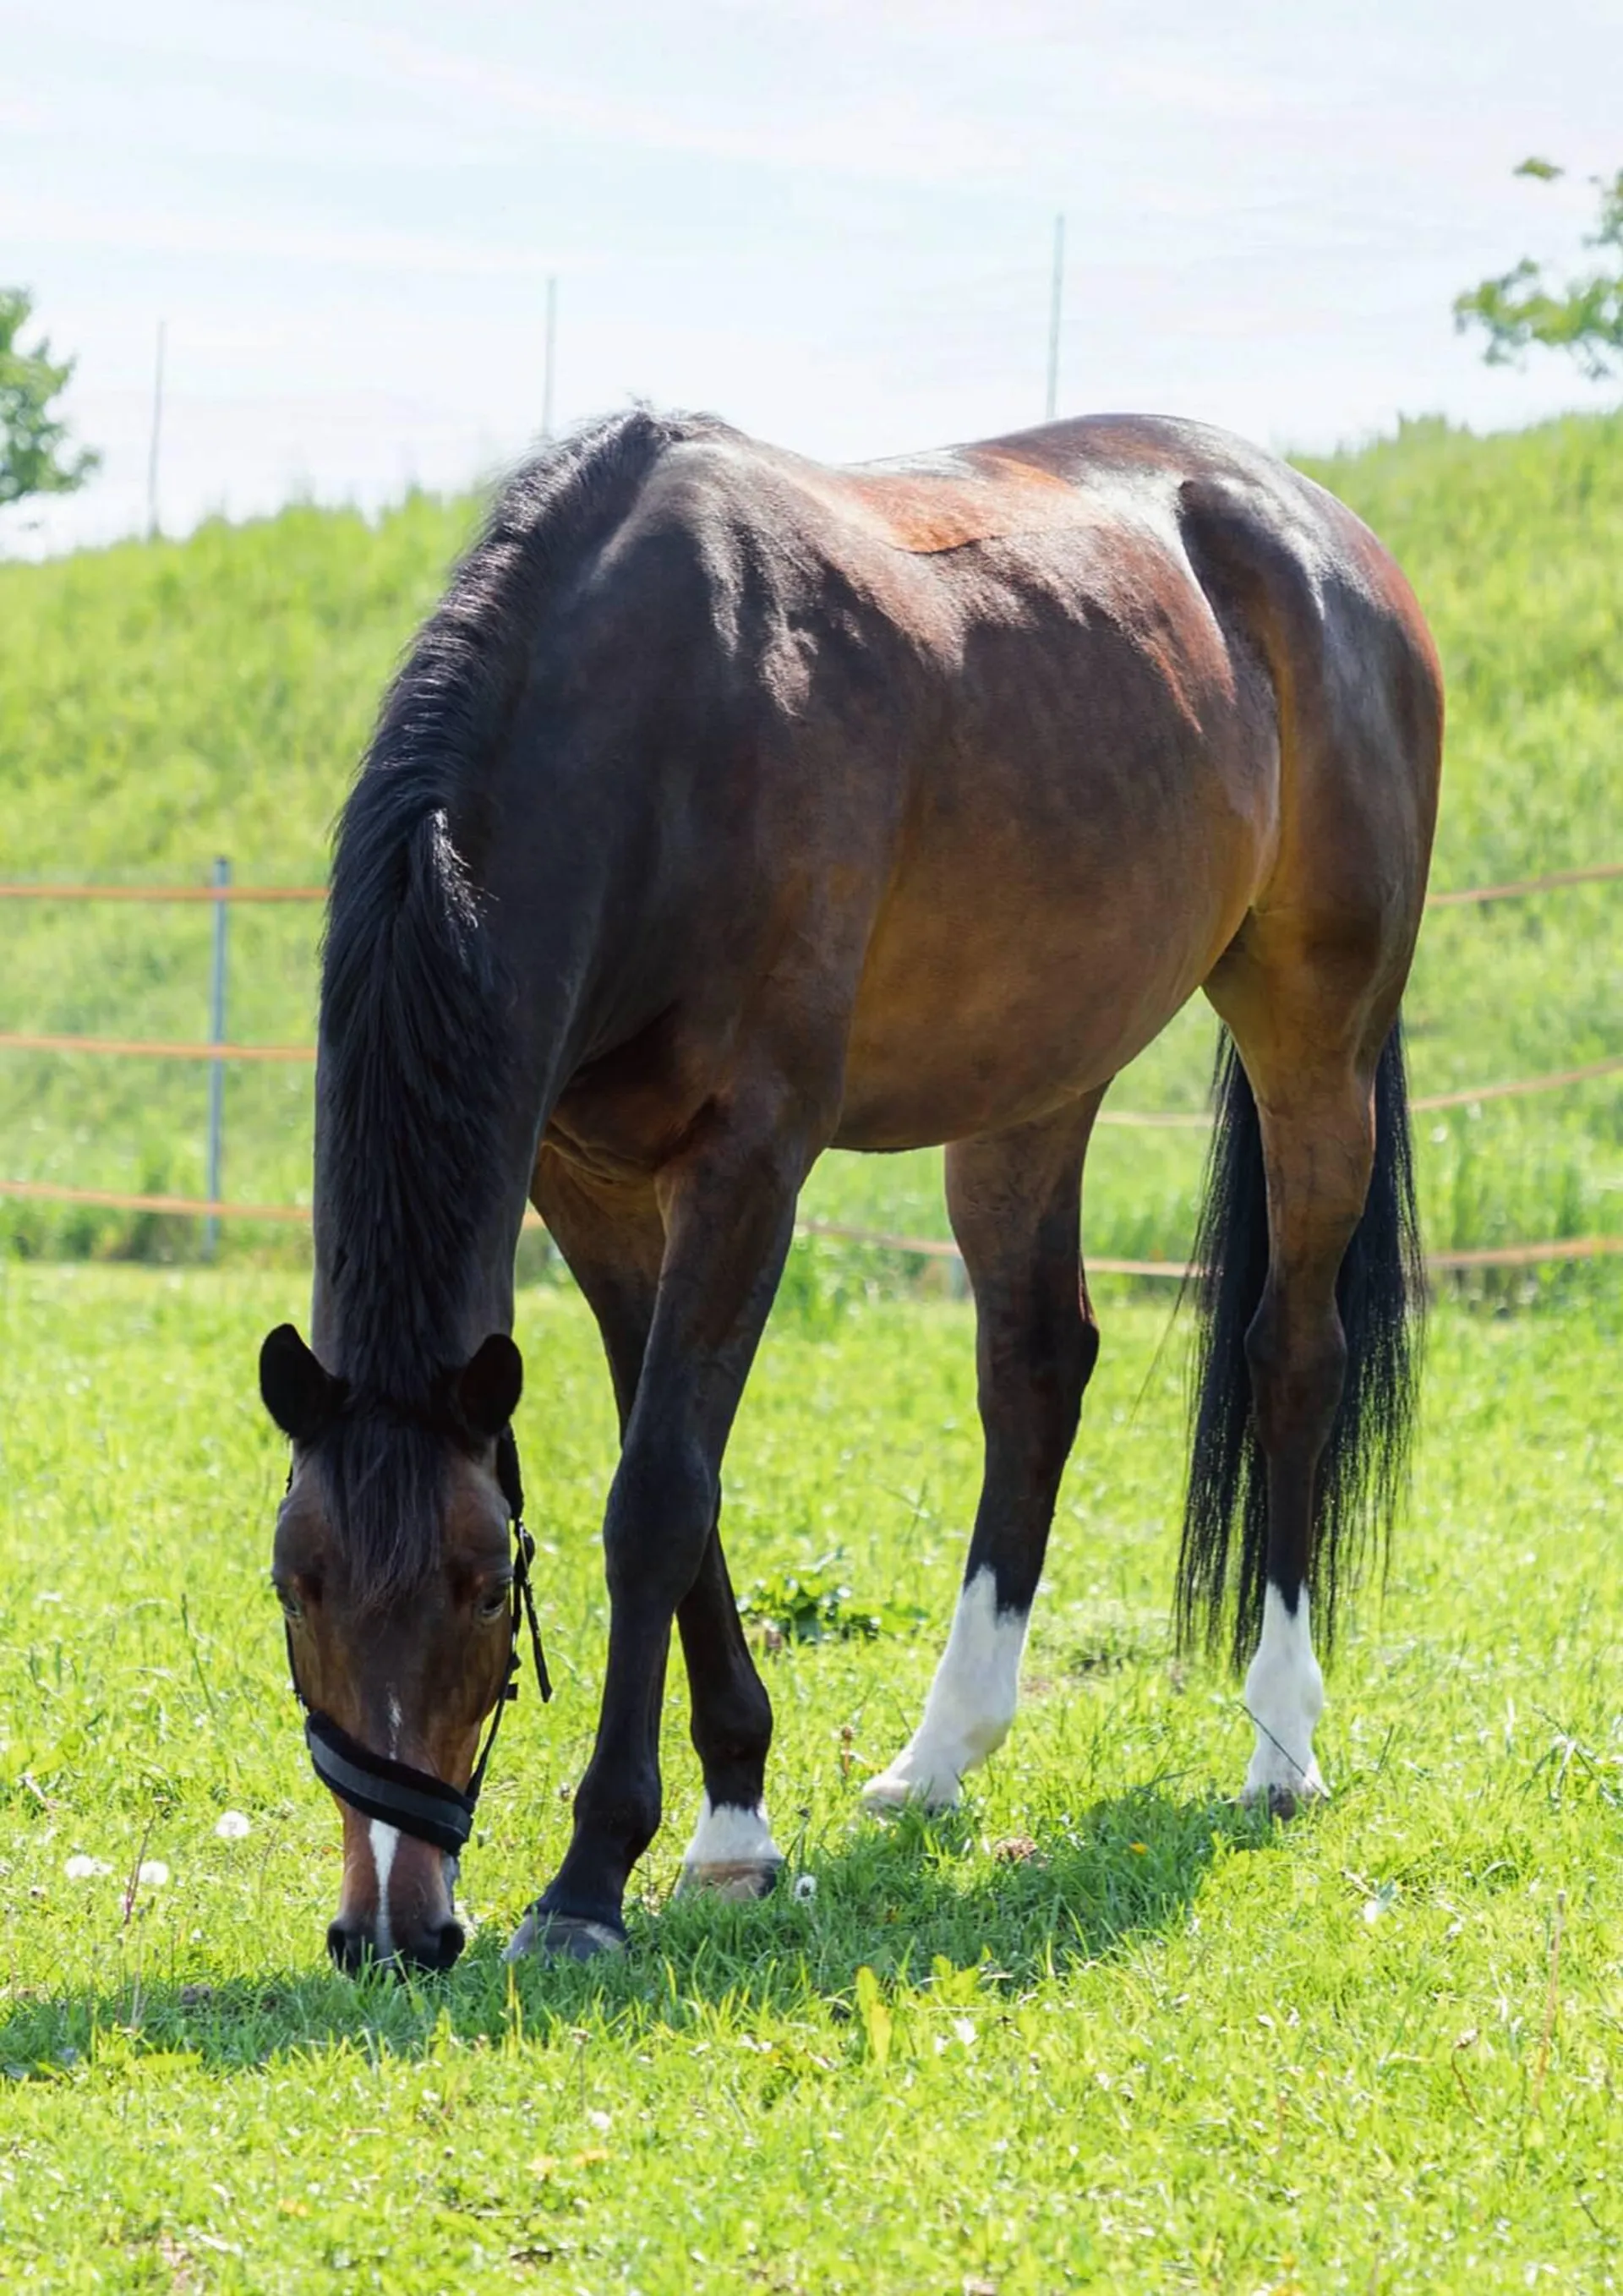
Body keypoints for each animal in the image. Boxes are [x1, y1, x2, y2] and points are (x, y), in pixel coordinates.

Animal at [260, 408, 1441, 1974]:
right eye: (297, 1584)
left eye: (478, 1582)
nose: (392, 1928)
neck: (658, 736)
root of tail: (1323, 536)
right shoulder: (587, 1181)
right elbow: (674, 1487)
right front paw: (734, 1828)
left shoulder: (751, 1159)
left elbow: (657, 1493)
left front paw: (591, 1878)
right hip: (1033, 1075)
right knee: (1036, 1365)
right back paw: (943, 1755)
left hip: (1317, 1038)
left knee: (1294, 1354)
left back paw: (1281, 1745)